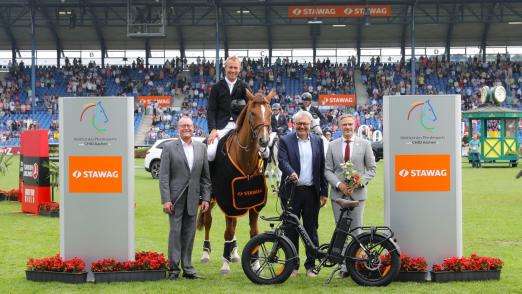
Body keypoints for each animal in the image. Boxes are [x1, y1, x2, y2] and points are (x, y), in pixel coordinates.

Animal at [197, 89, 274, 274]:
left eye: (270, 113)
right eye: (252, 113)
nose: (264, 141)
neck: (245, 158)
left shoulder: (252, 203)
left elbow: (253, 232)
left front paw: (255, 263)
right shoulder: (227, 199)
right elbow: (228, 231)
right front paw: (225, 263)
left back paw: (234, 252)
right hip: (211, 198)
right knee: (209, 221)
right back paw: (206, 253)